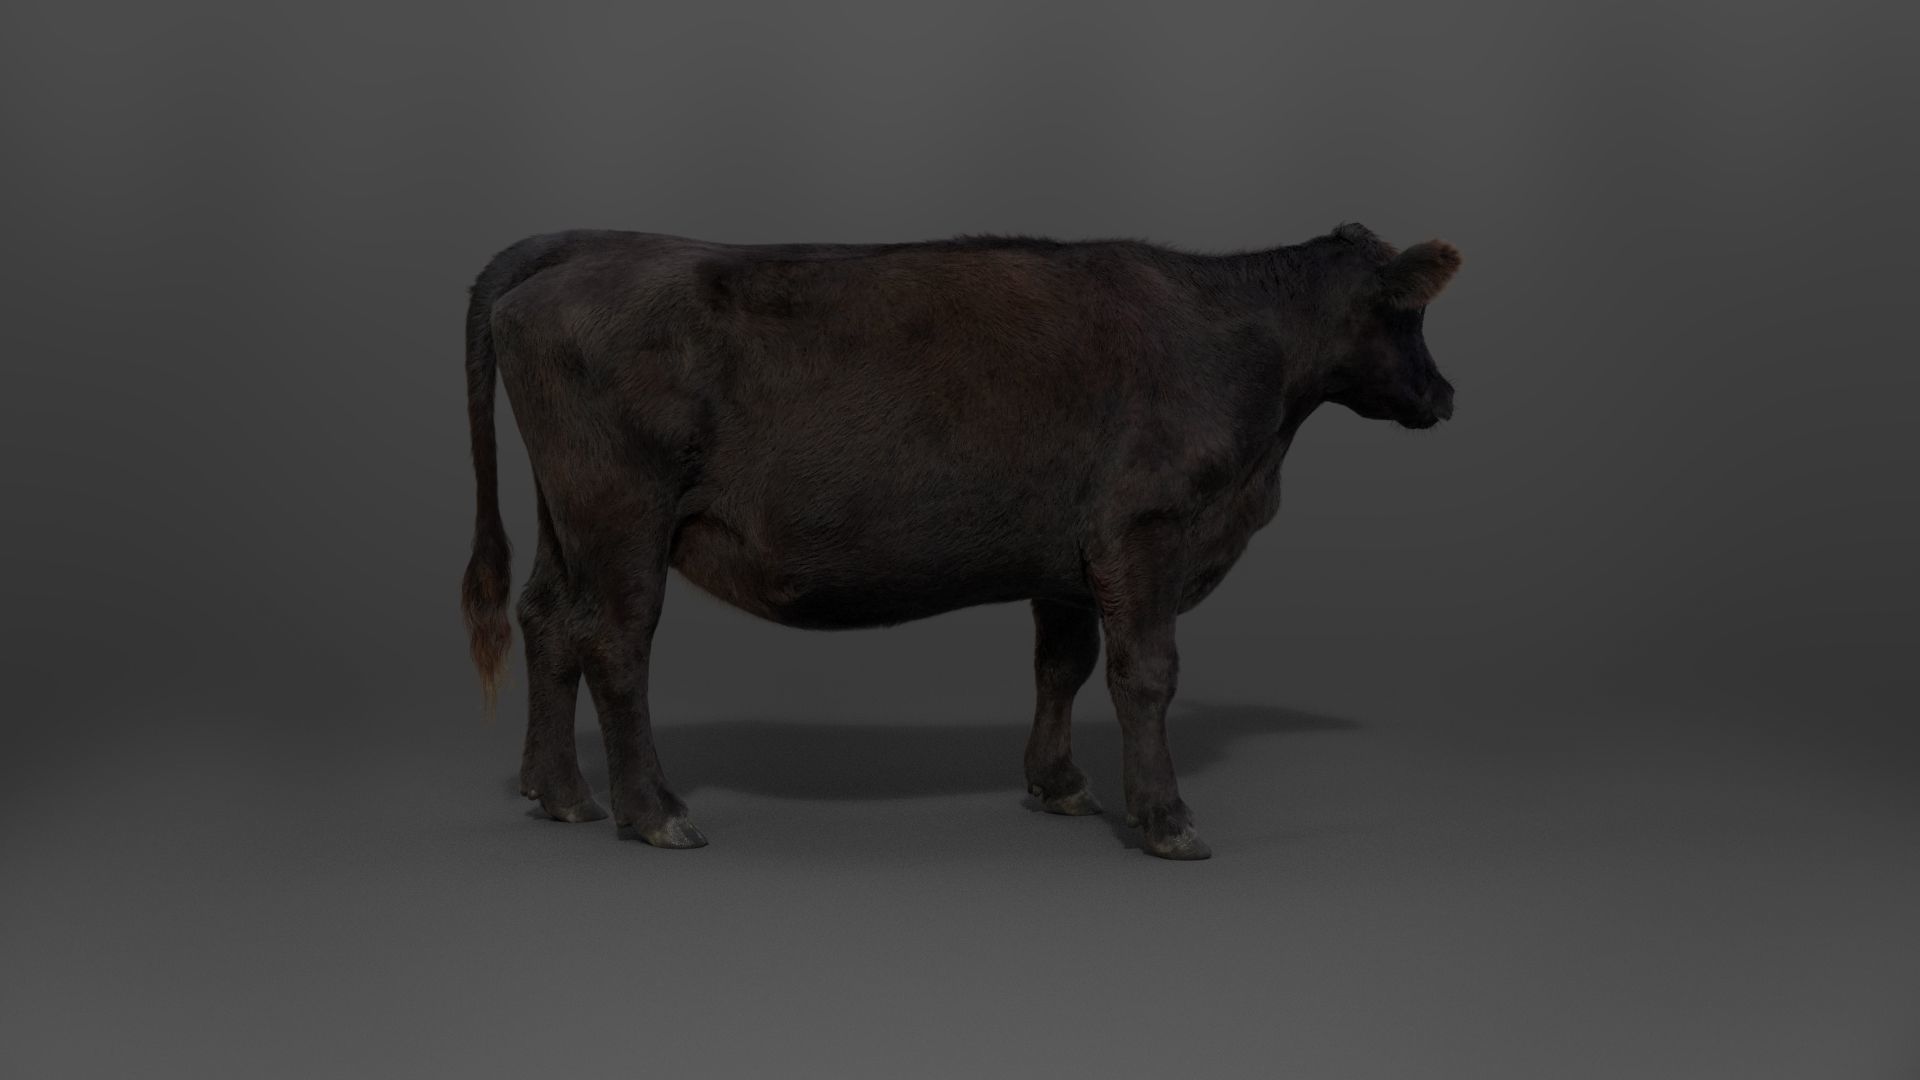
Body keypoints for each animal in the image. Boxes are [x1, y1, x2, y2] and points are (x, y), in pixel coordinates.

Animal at [460, 222, 1460, 860]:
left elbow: (1062, 666)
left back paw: (561, 795)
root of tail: (586, 244)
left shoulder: (1070, 557)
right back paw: (655, 812)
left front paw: (1060, 785)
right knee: (616, 646)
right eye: (1409, 312)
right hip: (622, 512)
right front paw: (1167, 819)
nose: (1446, 395)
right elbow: (1146, 675)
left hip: (567, 516)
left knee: (548, 621)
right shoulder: (1145, 531)